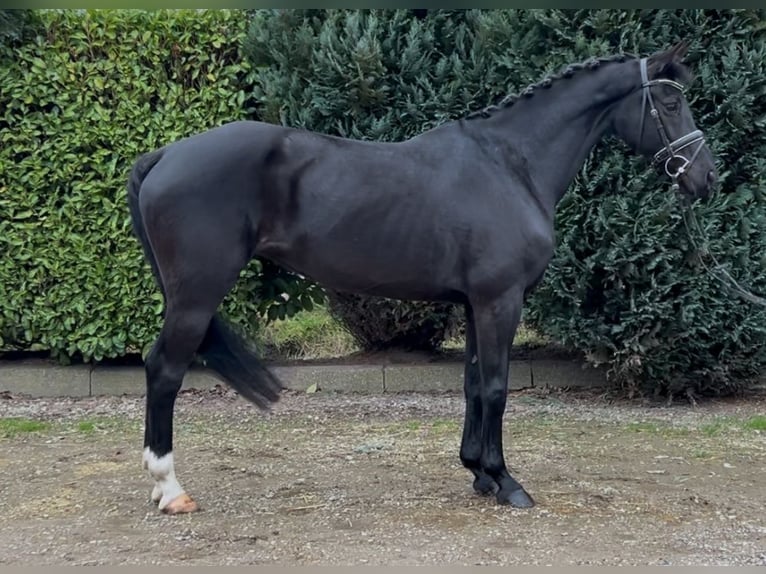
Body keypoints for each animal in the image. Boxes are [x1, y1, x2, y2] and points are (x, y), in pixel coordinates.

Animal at [127, 42, 720, 516]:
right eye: (670, 102)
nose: (707, 178)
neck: (510, 166)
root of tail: (165, 154)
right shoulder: (500, 301)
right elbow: (497, 387)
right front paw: (507, 482)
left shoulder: (474, 304)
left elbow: (473, 386)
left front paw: (478, 472)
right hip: (196, 297)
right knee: (164, 371)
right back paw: (170, 489)